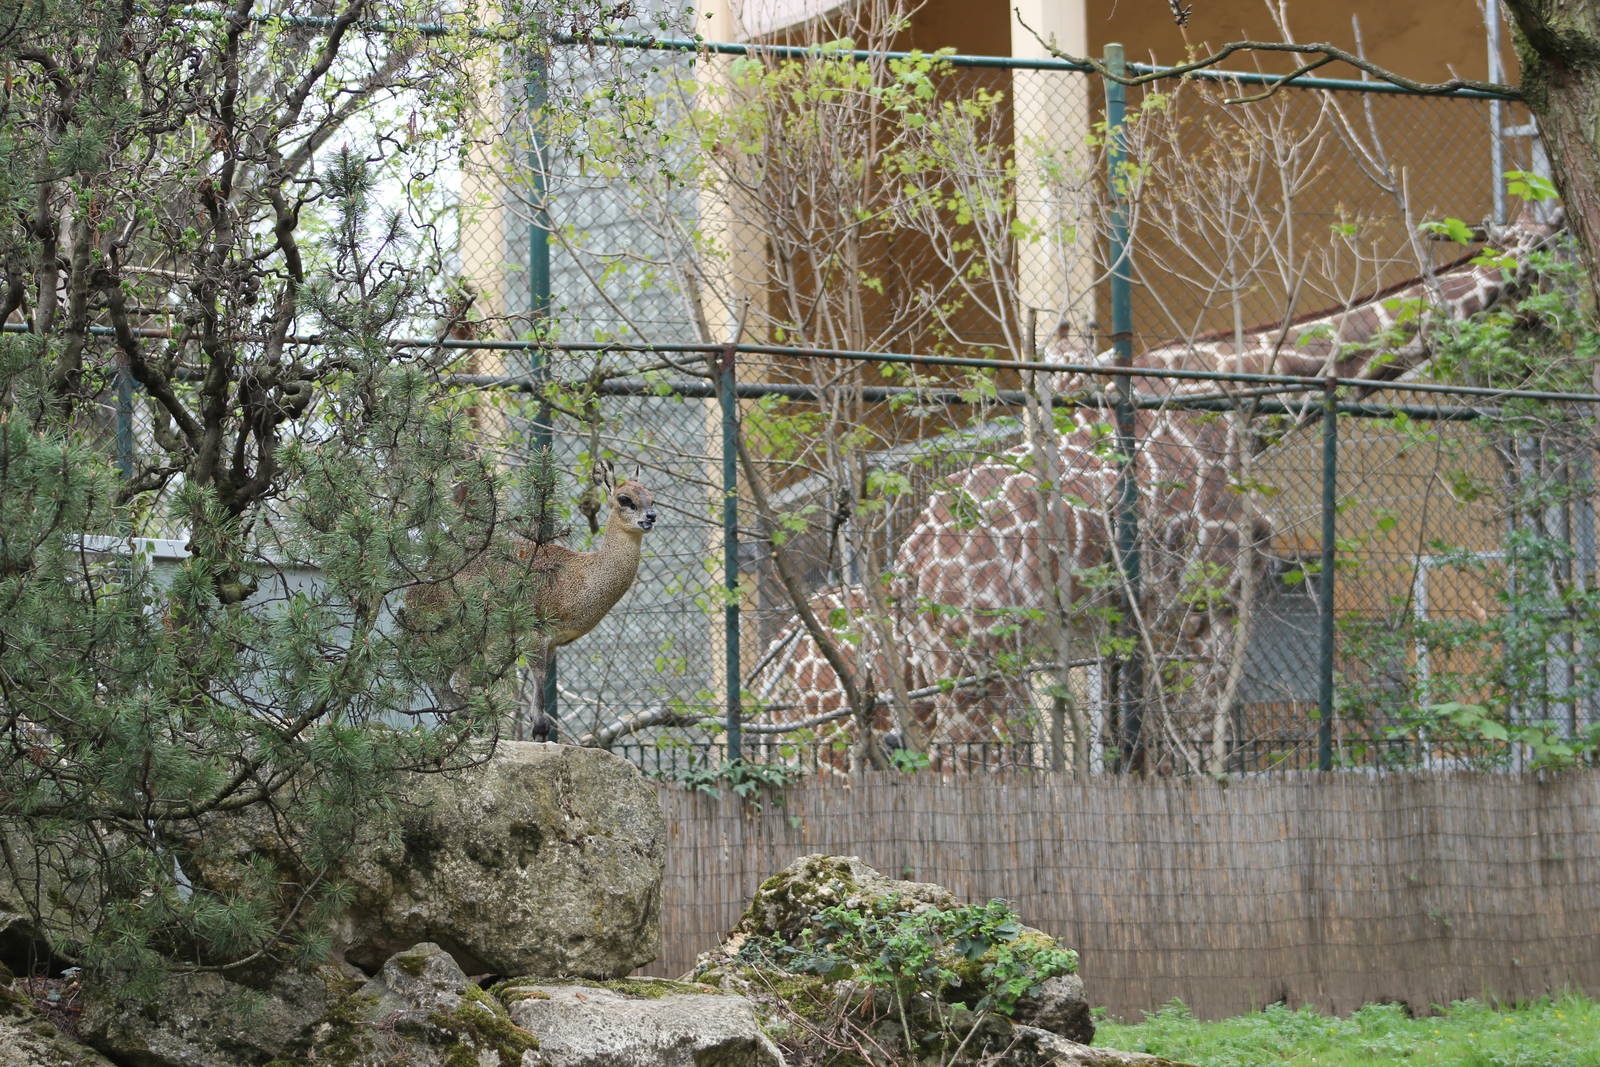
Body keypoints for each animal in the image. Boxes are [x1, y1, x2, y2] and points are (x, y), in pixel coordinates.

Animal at [754, 218, 1562, 773]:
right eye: (1546, 254)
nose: (1549, 331)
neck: (1246, 401)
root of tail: (910, 571)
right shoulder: (1204, 607)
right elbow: (1196, 754)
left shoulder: (1146, 624)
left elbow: (1151, 753)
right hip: (962, 681)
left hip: (930, 692)